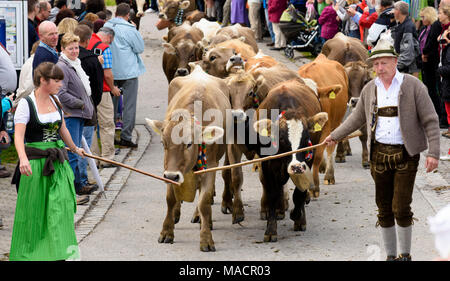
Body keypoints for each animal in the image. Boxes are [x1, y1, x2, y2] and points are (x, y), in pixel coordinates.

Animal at [147, 65, 232, 252]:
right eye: (163, 143)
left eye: (189, 143)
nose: (172, 176)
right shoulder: (168, 169)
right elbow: (170, 199)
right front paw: (167, 231)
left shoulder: (210, 165)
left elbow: (204, 201)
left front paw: (206, 238)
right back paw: (177, 213)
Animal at [298, 53, 350, 197]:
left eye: (313, 99)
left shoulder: (325, 130)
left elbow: (317, 157)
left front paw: (314, 187)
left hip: (335, 123)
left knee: (330, 149)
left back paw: (329, 175)